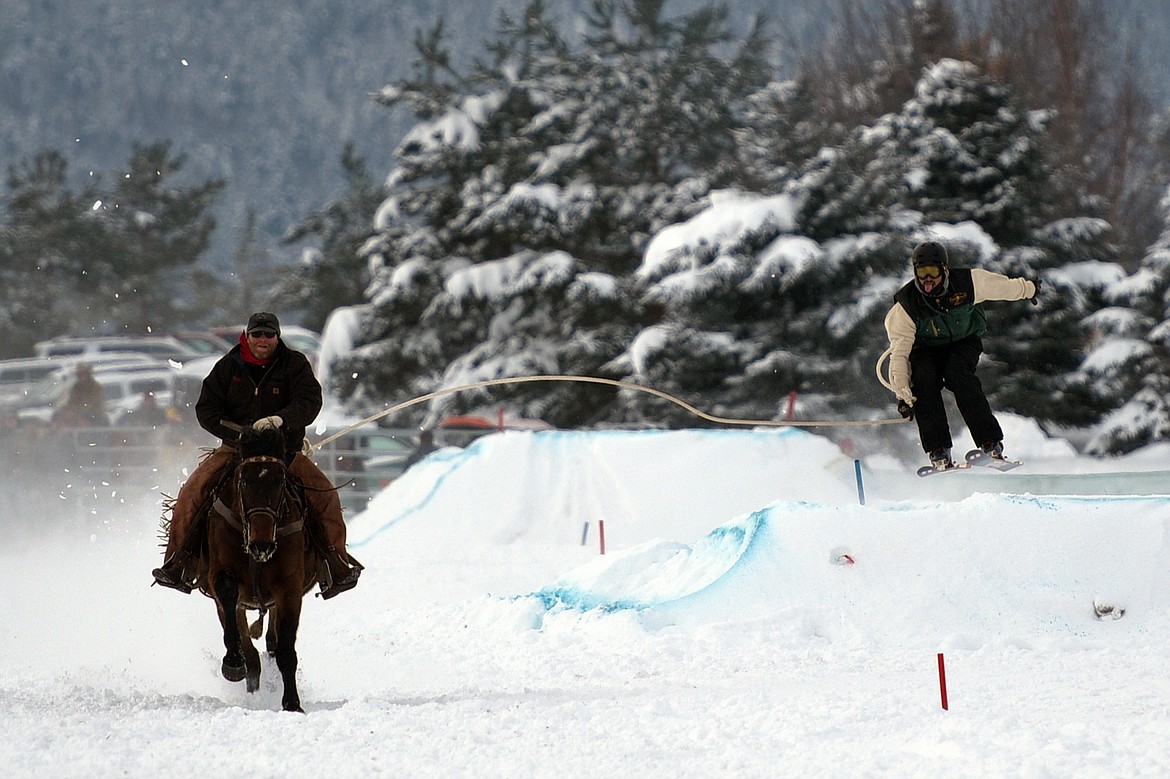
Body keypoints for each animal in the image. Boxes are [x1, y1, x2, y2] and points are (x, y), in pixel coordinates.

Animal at [200, 425, 320, 711]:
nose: (261, 544)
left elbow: (285, 649)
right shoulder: (220, 582)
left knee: (272, 641)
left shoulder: (289, 588)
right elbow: (242, 639)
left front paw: (292, 703)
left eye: (280, 482)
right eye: (243, 481)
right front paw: (233, 663)